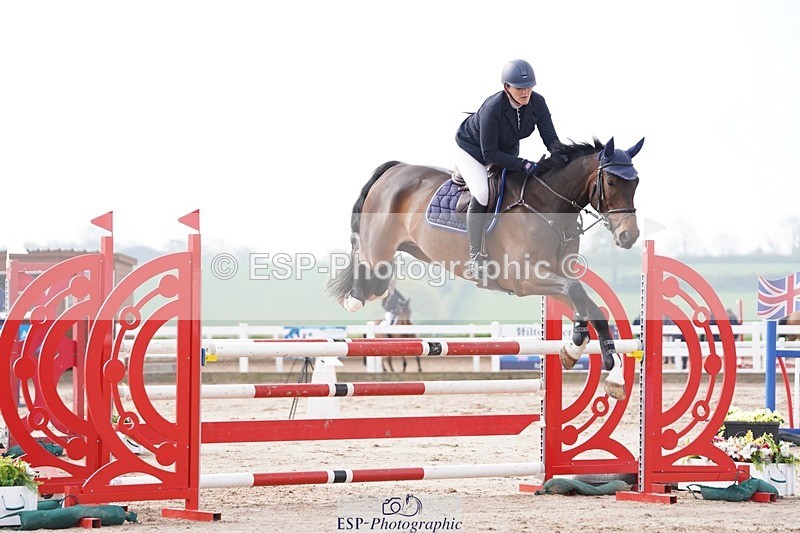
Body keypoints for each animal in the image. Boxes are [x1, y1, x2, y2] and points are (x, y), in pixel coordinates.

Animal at [327, 137, 644, 400]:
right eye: (611, 182)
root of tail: (395, 169)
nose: (629, 236)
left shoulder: (555, 276)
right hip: (378, 249)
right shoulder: (525, 279)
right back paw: (355, 298)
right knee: (360, 253)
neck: (548, 206)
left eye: (636, 182)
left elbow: (590, 305)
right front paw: (580, 345)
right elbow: (577, 290)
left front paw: (591, 359)